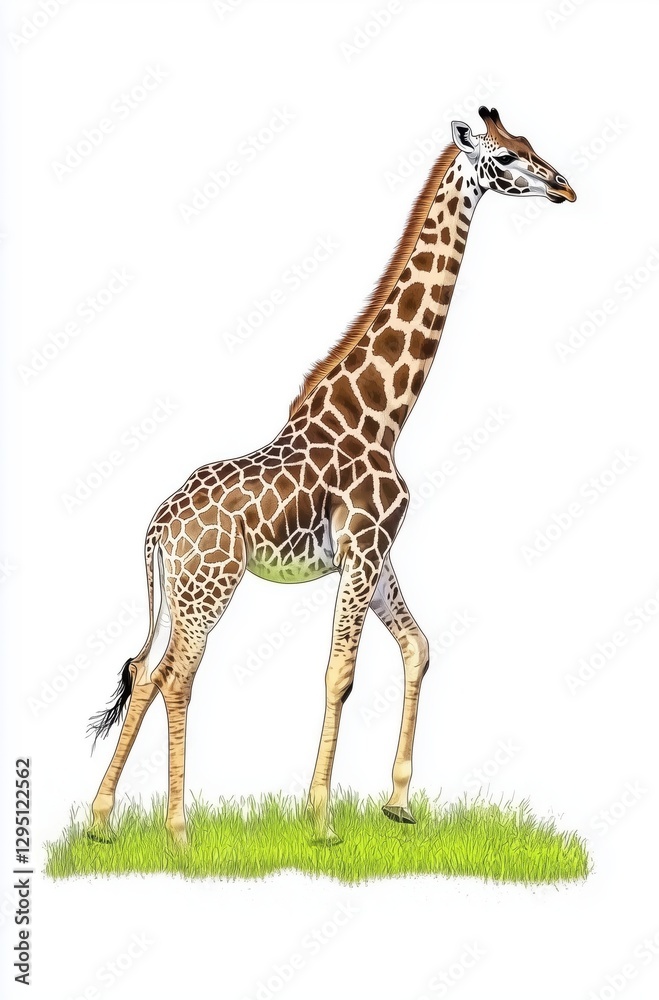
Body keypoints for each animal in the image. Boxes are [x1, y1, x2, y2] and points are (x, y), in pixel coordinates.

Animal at [88, 107, 576, 845]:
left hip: (179, 588)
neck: (383, 413)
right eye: (508, 156)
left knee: (146, 670)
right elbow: (340, 673)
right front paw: (320, 818)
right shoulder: (364, 546)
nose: (565, 187)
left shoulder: (374, 552)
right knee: (178, 677)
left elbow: (417, 646)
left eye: (528, 143)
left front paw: (397, 802)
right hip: (211, 586)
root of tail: (158, 526)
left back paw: (100, 819)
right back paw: (178, 830)